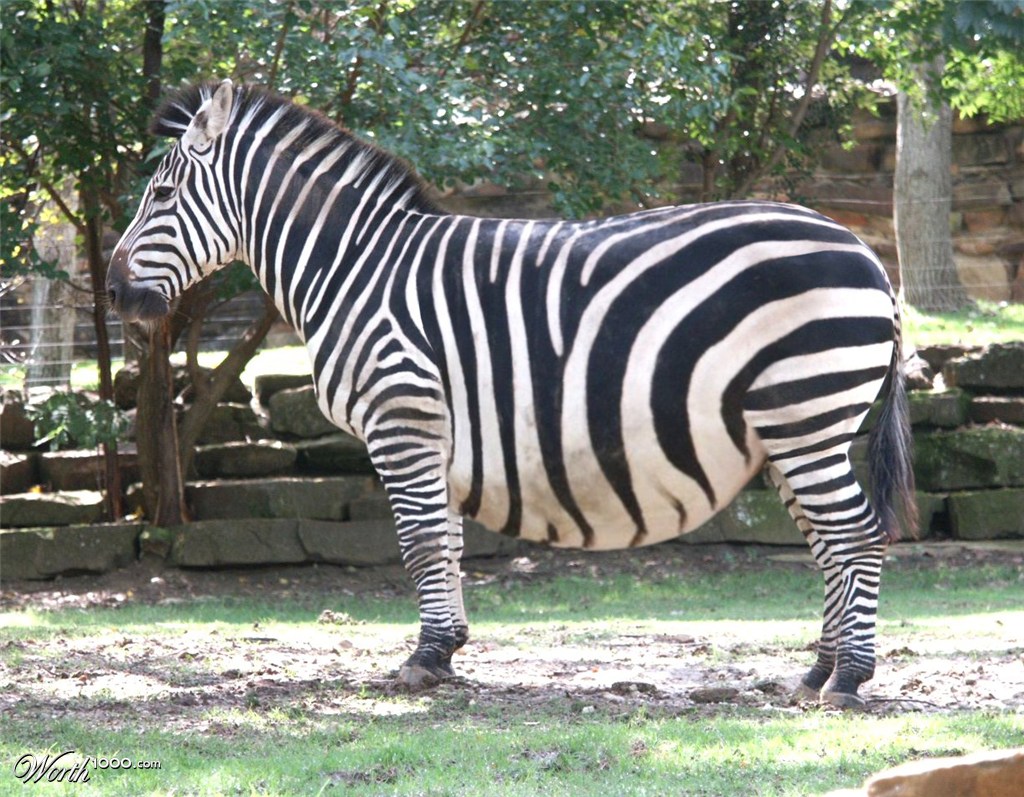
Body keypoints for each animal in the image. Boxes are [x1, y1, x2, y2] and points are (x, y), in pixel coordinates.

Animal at [107, 80, 916, 709]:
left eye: (163, 193)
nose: (114, 293)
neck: (355, 267)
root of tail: (866, 253)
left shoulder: (401, 413)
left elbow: (420, 540)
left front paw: (423, 660)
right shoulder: (429, 429)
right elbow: (446, 539)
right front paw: (446, 648)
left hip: (804, 412)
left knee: (855, 533)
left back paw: (849, 677)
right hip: (794, 425)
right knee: (826, 538)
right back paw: (815, 670)